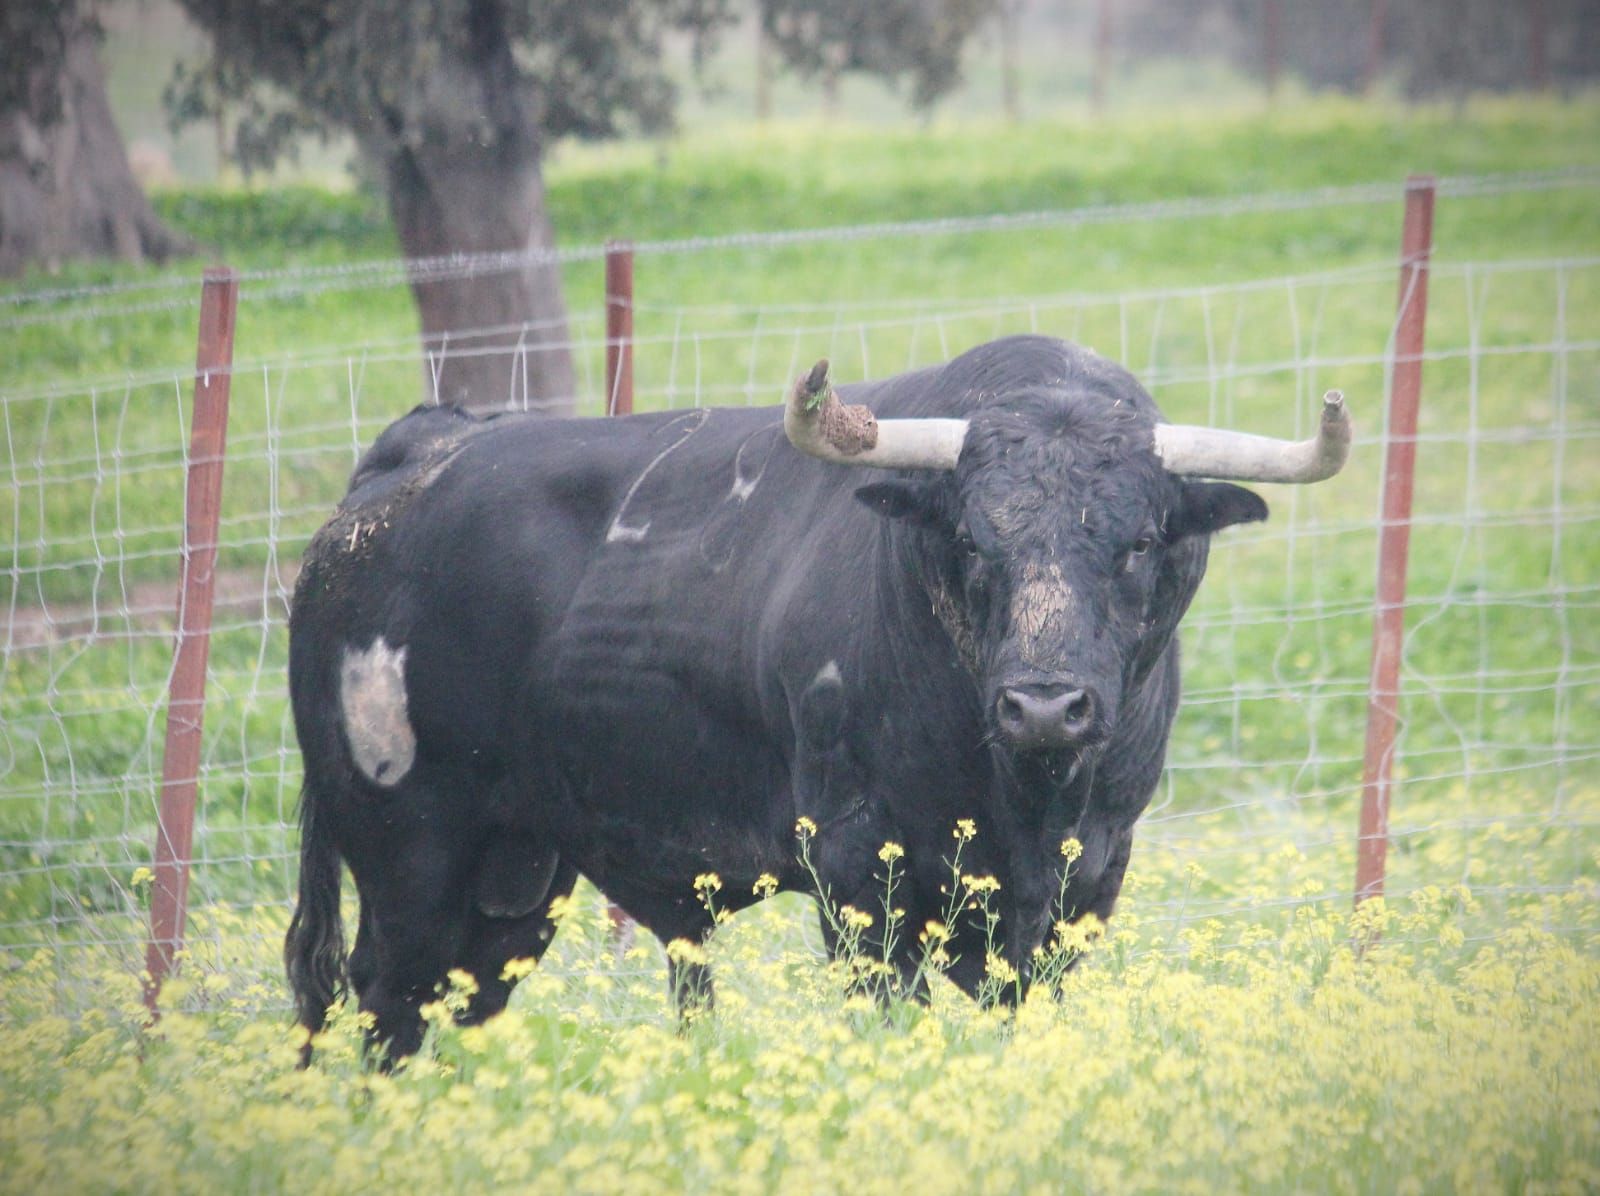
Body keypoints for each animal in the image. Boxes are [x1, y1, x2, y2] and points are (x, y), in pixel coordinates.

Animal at [284, 334, 1350, 1055]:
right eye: (972, 539)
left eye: (1139, 541)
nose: (1045, 708)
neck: (1025, 800)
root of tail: (412, 460)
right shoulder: (857, 868)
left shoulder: (1094, 871)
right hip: (409, 850)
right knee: (382, 1001)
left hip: (514, 876)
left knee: (448, 1007)